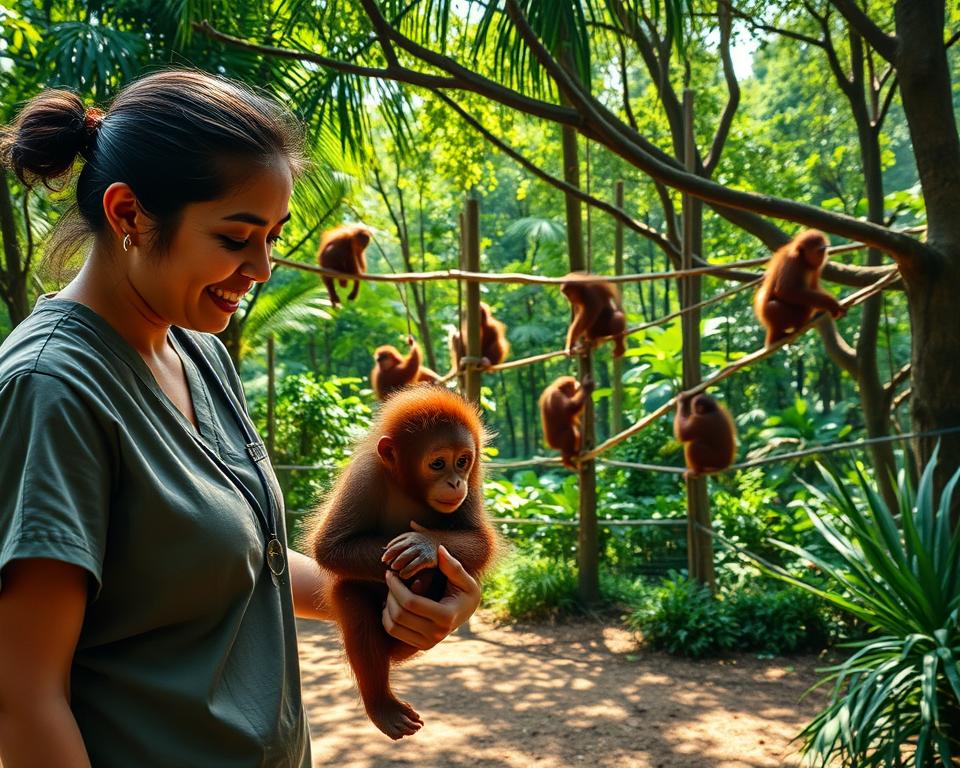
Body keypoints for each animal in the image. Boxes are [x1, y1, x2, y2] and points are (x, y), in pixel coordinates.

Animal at [305, 387, 497, 740]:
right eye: (438, 463)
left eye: (463, 462)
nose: (455, 483)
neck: (409, 489)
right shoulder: (366, 475)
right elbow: (330, 547)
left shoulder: (472, 486)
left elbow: (482, 543)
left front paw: (424, 546)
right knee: (350, 593)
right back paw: (383, 706)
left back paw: (423, 583)